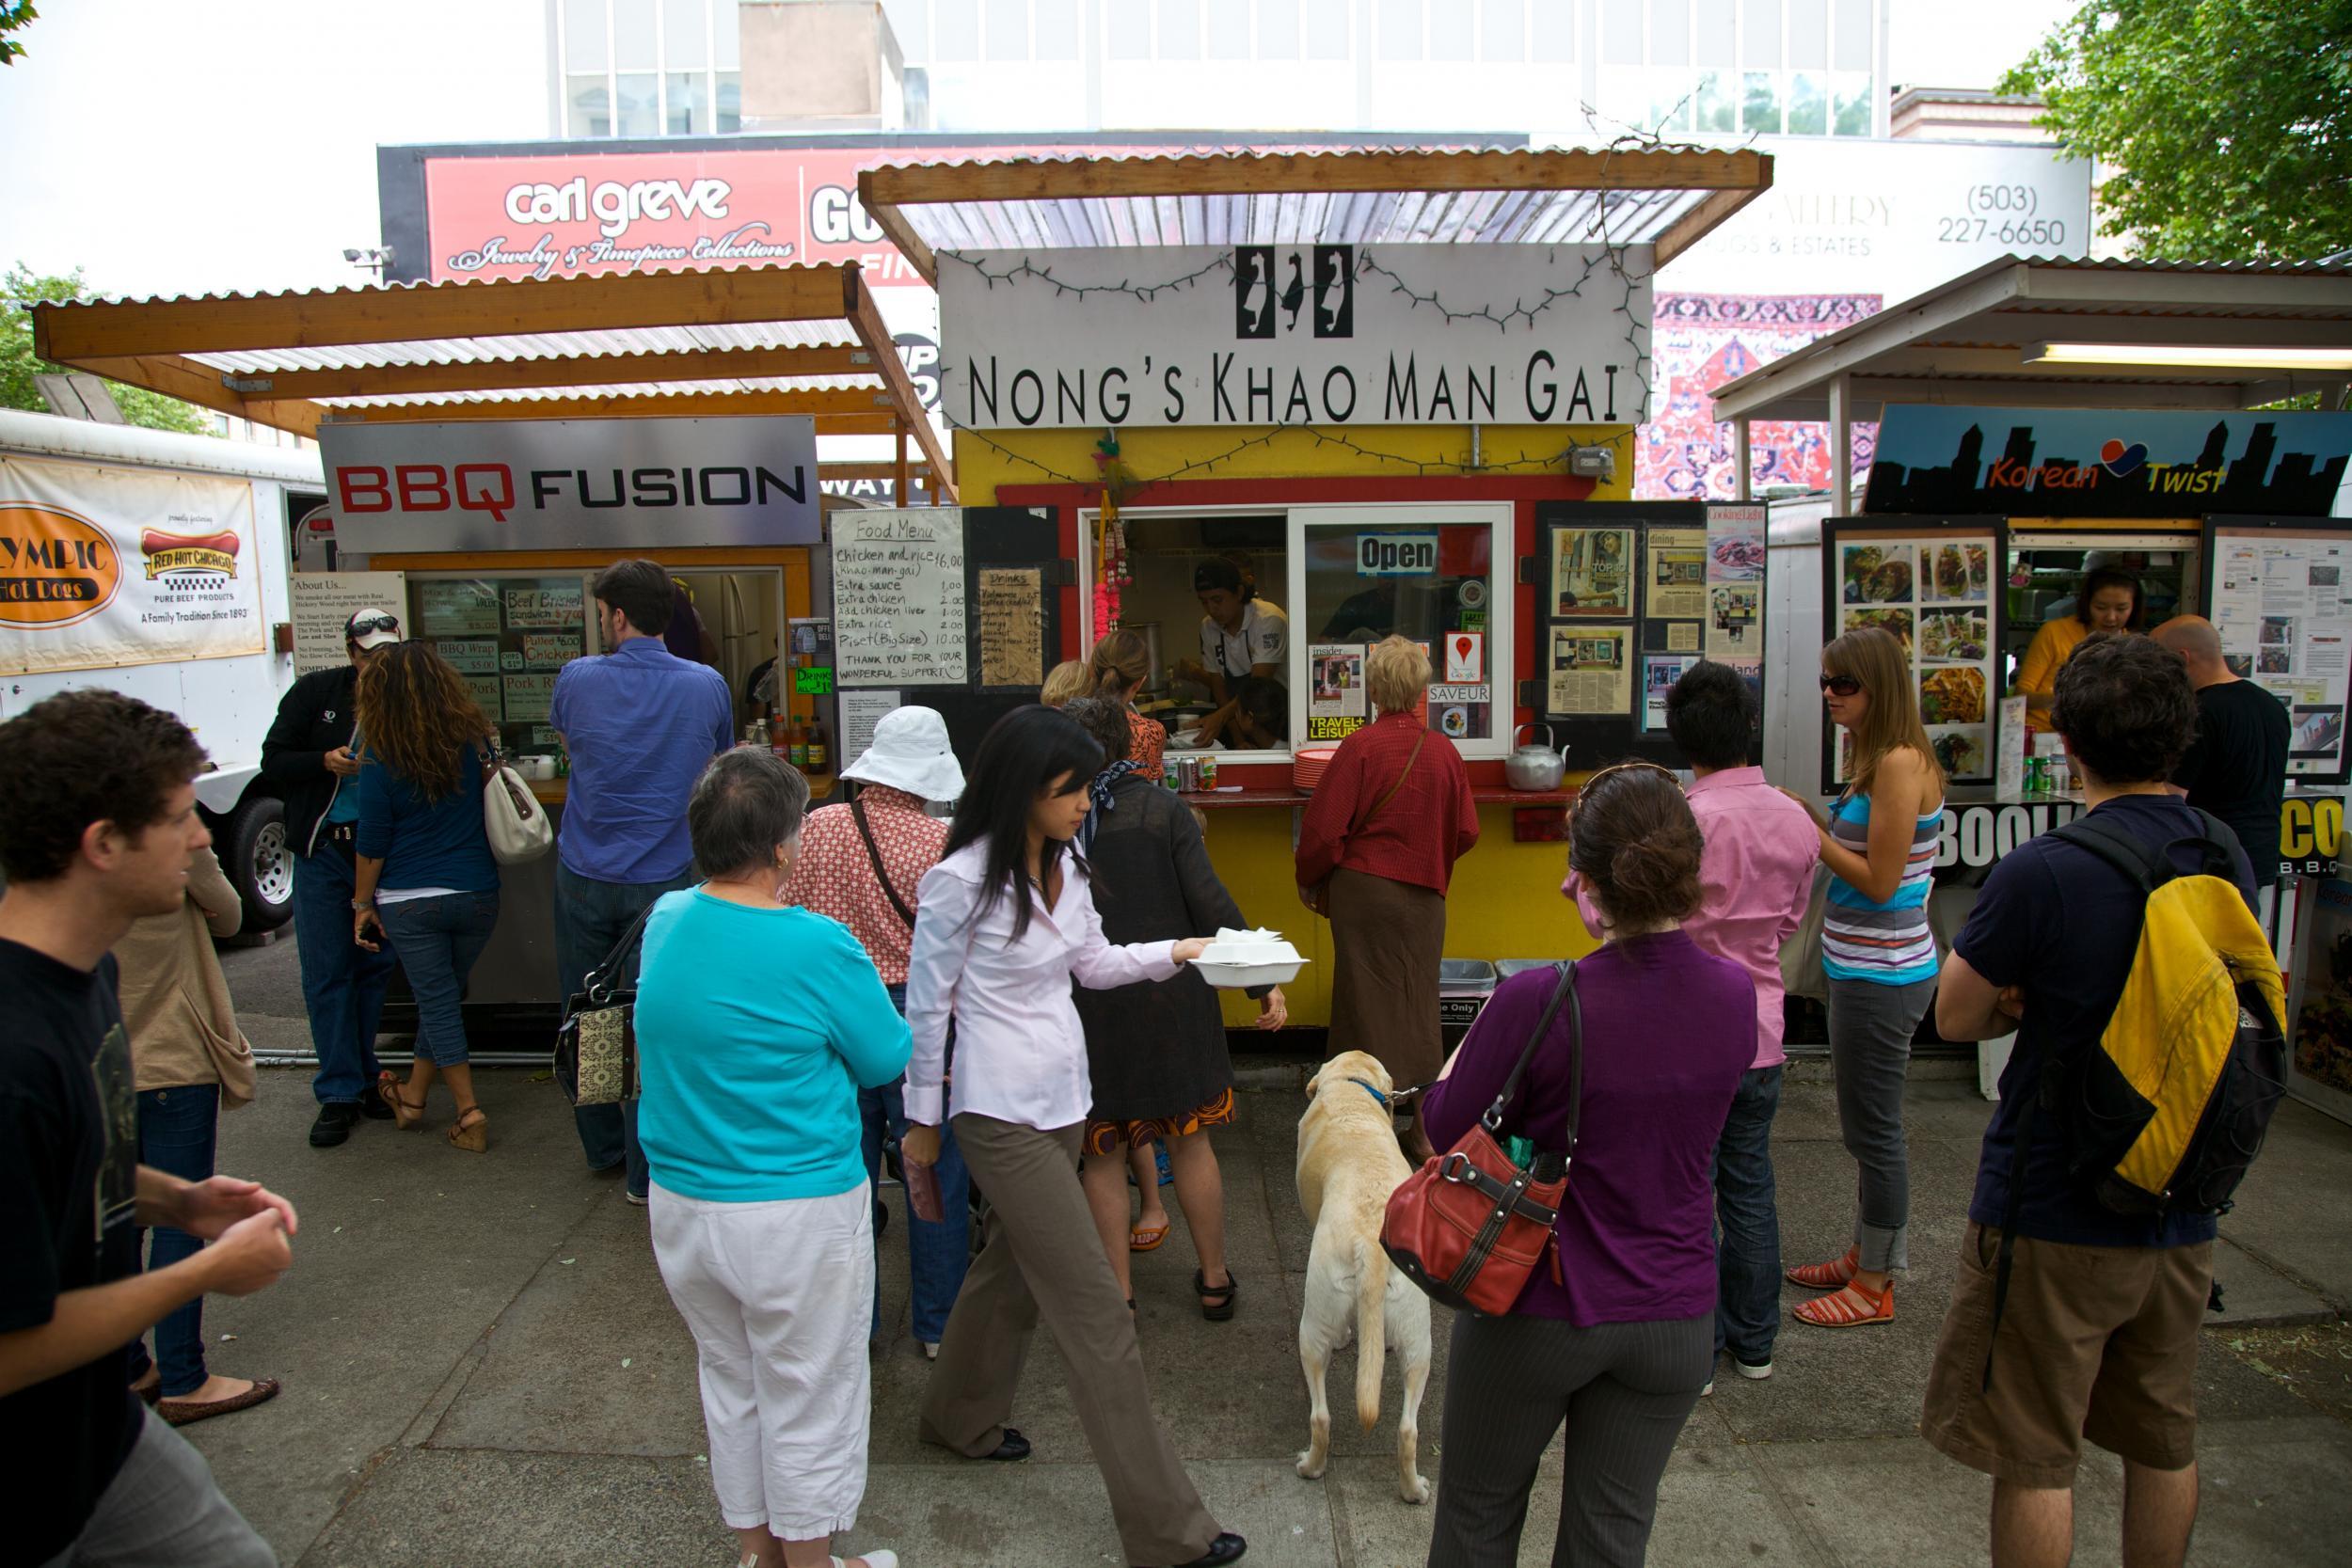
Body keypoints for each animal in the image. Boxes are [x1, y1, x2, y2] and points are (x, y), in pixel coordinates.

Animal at [1289, 1053, 1430, 1504]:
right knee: (1408, 1429)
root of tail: (1372, 1244)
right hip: (1420, 1340)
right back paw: (1414, 1490)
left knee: (1320, 1417)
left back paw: (1310, 1467)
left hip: (1313, 1327)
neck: (1352, 1088)